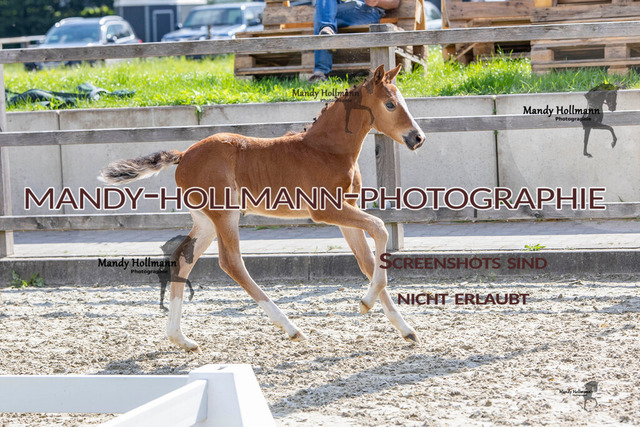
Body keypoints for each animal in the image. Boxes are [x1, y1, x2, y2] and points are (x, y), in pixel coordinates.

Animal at [99, 64, 426, 352]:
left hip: (205, 221)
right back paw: (291, 328)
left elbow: (367, 262)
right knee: (231, 262)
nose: (417, 138)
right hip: (225, 214)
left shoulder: (346, 215)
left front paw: (405, 329)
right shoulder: (326, 210)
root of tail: (185, 154)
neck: (327, 150)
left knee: (182, 259)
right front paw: (365, 303)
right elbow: (380, 228)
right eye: (390, 104)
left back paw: (181, 339)